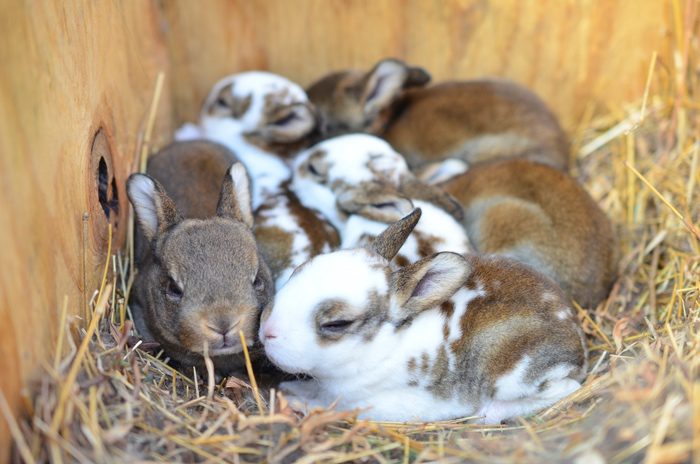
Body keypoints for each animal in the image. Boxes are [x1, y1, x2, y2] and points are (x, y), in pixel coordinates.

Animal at [259, 209, 588, 423]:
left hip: (516, 376)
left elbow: (331, 406)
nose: (266, 331)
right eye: (299, 270)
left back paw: (488, 413)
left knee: (567, 389)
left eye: (336, 324)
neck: (384, 346)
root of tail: (577, 342)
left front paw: (297, 399)